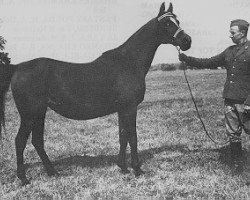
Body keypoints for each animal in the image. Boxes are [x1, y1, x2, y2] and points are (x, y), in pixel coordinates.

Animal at [0, 2, 191, 186]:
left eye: (177, 21)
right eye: (167, 23)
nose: (187, 40)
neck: (128, 62)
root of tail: (17, 67)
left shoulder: (122, 109)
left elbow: (123, 136)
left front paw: (122, 167)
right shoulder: (130, 108)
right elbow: (133, 136)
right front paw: (137, 169)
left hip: (39, 113)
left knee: (37, 141)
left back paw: (53, 172)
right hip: (29, 114)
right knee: (20, 141)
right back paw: (24, 179)